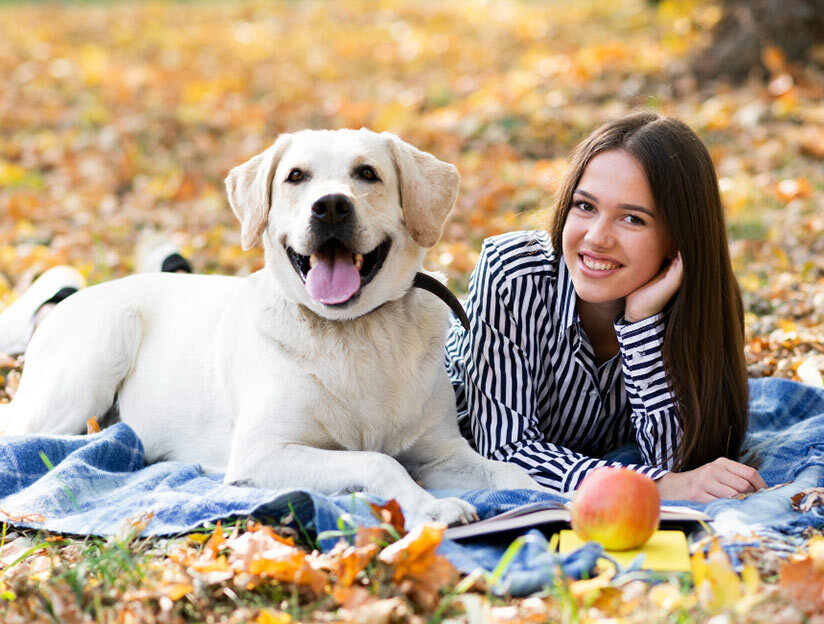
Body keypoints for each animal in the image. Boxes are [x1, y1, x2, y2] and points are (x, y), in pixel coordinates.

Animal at [1, 129, 548, 524]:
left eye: (367, 173)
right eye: (295, 176)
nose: (330, 205)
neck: (354, 331)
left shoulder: (442, 452)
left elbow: (511, 474)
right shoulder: (262, 454)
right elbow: (379, 461)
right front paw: (432, 508)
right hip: (91, 363)